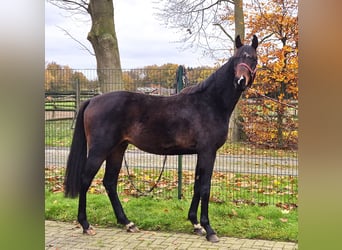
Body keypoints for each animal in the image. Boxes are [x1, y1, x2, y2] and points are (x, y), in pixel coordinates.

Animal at [64, 35, 258, 242]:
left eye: (253, 58)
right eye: (236, 58)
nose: (240, 80)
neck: (209, 102)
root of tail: (93, 100)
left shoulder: (202, 153)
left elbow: (197, 186)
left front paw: (196, 224)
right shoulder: (208, 152)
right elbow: (205, 187)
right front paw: (209, 230)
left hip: (118, 148)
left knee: (109, 182)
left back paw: (128, 223)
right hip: (99, 150)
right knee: (85, 180)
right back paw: (86, 225)